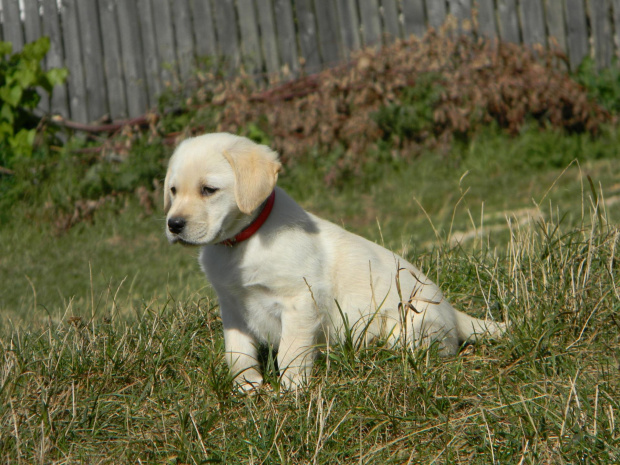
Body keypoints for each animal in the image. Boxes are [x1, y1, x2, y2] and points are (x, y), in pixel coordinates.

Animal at [163, 132, 504, 390]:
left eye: (208, 190)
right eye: (173, 190)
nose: (173, 224)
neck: (240, 242)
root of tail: (452, 309)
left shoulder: (300, 300)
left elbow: (291, 352)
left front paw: (291, 392)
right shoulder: (232, 305)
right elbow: (237, 352)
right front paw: (247, 387)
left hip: (412, 321)